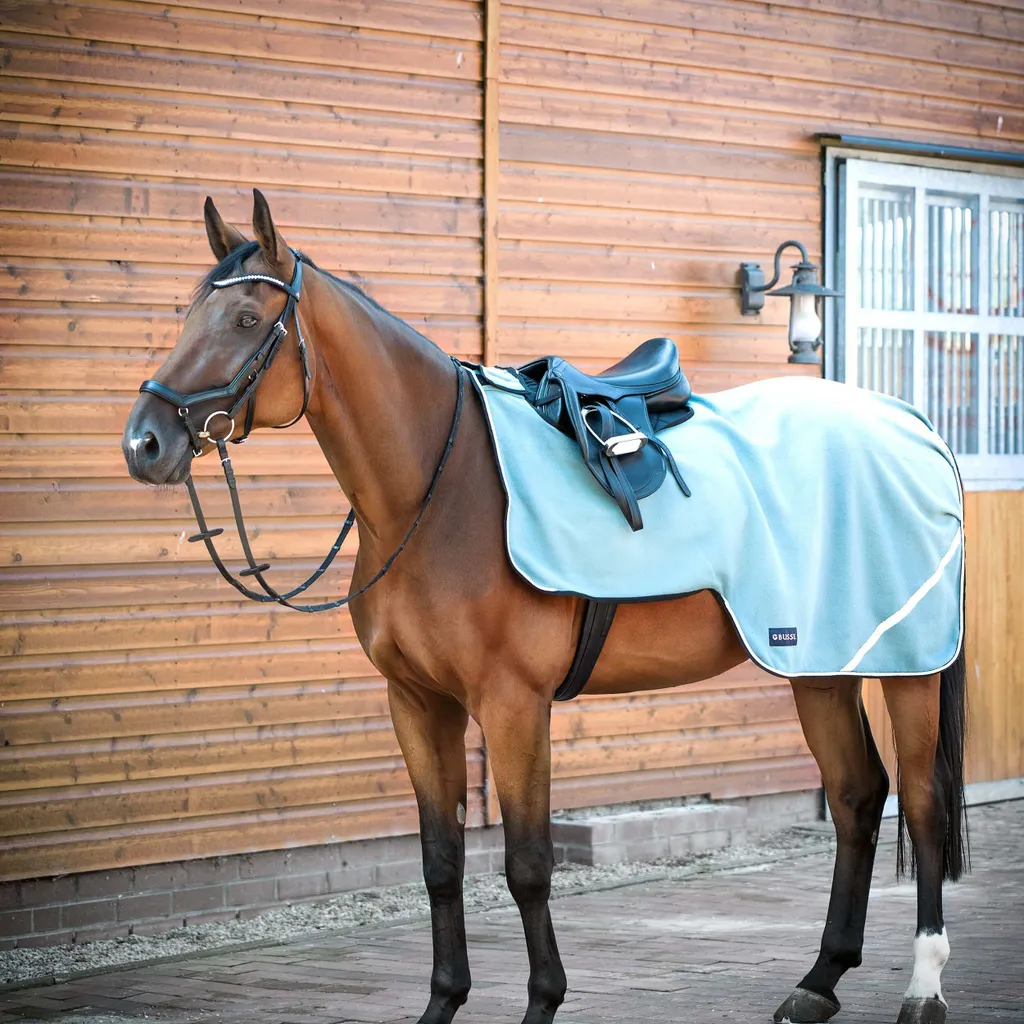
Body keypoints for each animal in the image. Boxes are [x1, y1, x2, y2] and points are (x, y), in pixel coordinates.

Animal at [122, 189, 968, 1024]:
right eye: (188, 313)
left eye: (246, 320)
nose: (145, 443)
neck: (439, 487)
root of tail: (910, 424)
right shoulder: (417, 703)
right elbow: (440, 862)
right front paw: (443, 1002)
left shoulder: (513, 704)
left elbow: (527, 864)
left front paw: (542, 1002)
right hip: (818, 664)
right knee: (857, 796)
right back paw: (819, 980)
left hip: (907, 665)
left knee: (924, 804)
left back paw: (923, 988)